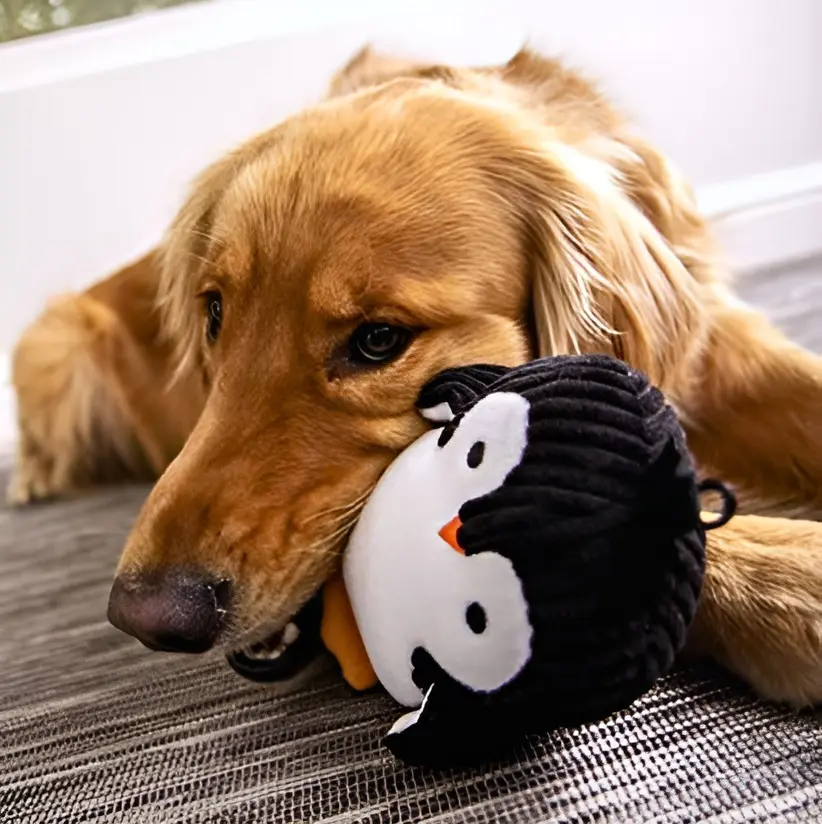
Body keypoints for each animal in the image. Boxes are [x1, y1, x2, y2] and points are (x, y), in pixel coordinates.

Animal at [11, 46, 822, 700]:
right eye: (214, 313)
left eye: (379, 340)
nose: (147, 615)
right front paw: (798, 579)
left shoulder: (717, 349)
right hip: (48, 347)